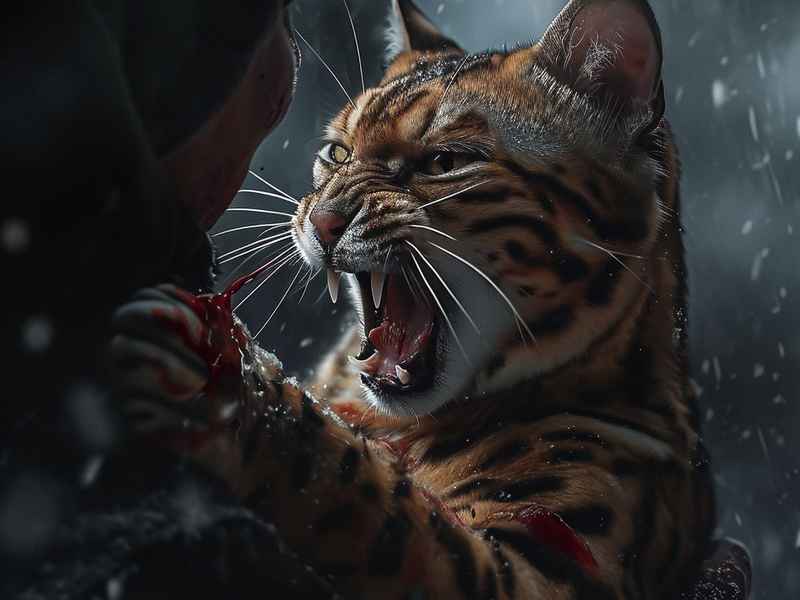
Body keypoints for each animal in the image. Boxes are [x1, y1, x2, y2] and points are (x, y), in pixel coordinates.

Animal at [109, 0, 752, 598]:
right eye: (337, 154)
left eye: (447, 162)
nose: (322, 221)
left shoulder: (549, 571)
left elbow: (383, 501)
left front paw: (228, 386)